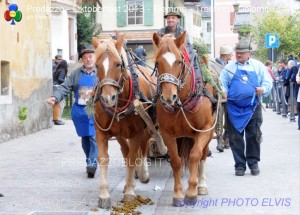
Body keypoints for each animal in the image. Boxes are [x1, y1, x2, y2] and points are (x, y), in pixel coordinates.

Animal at [91, 34, 157, 208]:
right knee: (126, 153)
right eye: (96, 65)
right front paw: (104, 195)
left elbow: (134, 157)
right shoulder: (102, 132)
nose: (108, 98)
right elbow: (104, 158)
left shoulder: (137, 132)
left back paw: (142, 174)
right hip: (121, 134)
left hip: (147, 127)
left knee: (143, 149)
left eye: (118, 64)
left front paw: (129, 193)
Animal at [152, 31, 218, 207]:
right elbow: (175, 160)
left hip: (209, 133)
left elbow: (195, 155)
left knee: (203, 154)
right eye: (157, 62)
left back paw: (201, 185)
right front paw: (178, 194)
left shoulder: (204, 130)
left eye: (179, 61)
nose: (169, 96)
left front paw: (191, 192)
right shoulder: (167, 133)